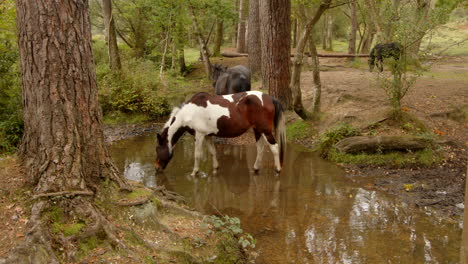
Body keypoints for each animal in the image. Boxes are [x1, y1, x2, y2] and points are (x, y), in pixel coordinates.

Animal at [155, 91, 286, 175]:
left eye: (157, 149)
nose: (157, 168)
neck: (189, 113)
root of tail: (270, 98)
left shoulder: (199, 135)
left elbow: (197, 155)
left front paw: (194, 173)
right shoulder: (207, 136)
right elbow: (213, 152)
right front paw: (215, 168)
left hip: (265, 131)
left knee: (274, 147)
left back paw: (278, 170)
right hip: (257, 130)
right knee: (260, 148)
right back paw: (256, 168)